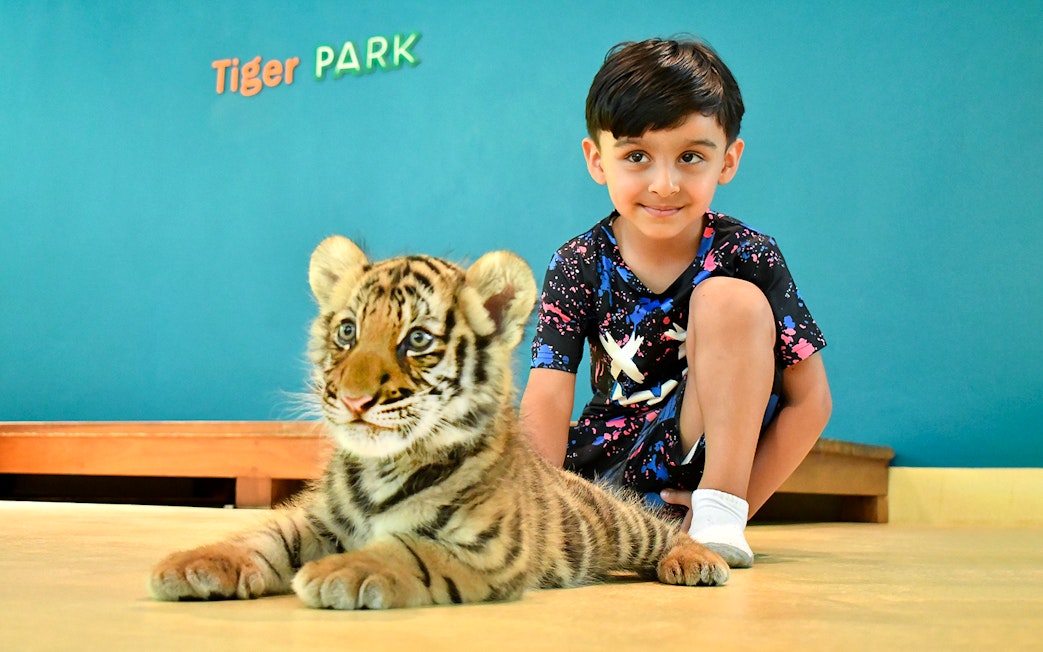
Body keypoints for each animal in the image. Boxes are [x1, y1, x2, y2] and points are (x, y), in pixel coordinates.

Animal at [148, 235, 729, 609]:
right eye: (347, 331)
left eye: (418, 340)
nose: (354, 400)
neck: (380, 467)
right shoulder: (319, 521)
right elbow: (265, 537)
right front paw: (193, 563)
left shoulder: (490, 548)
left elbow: (409, 550)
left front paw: (338, 572)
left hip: (615, 522)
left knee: (659, 530)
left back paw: (702, 561)